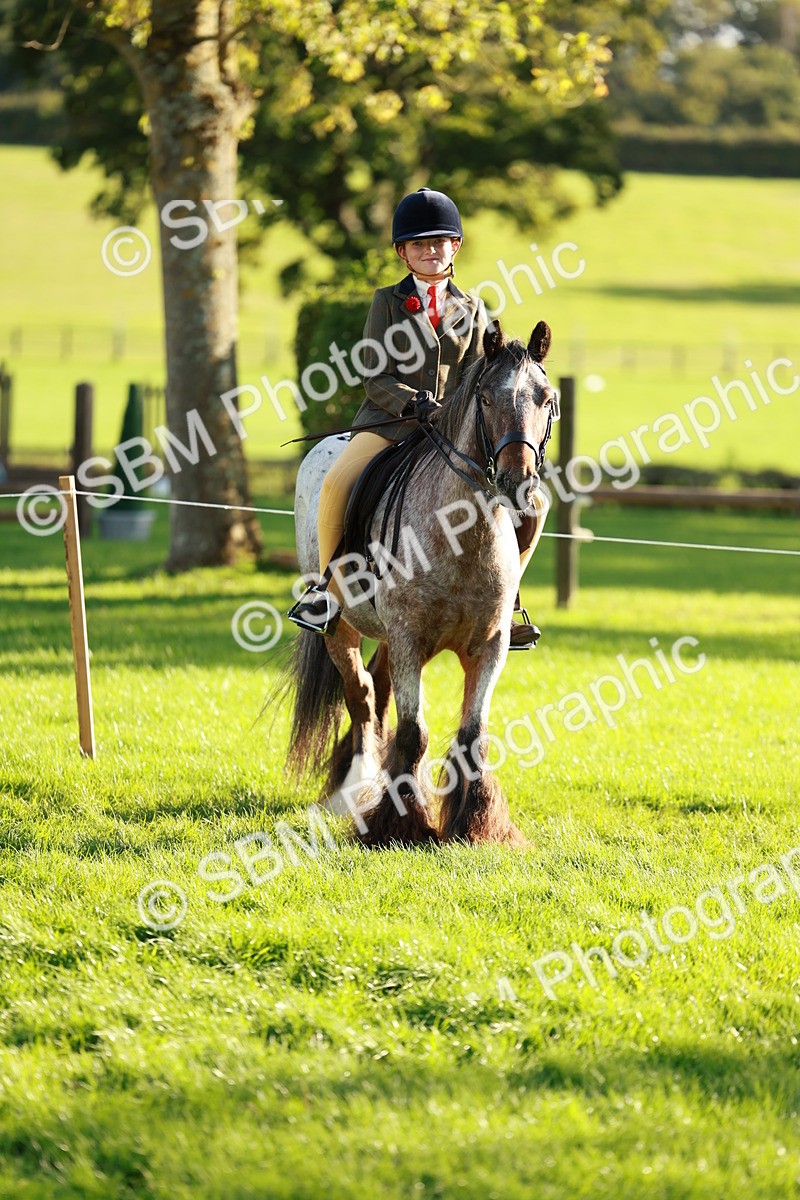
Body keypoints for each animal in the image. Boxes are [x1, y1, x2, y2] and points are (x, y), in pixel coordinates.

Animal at [284, 320, 558, 847]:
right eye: (486, 398)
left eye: (546, 398)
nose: (517, 482)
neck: (464, 534)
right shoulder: (410, 638)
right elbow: (414, 733)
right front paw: (400, 823)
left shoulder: (488, 645)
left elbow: (472, 736)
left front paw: (474, 824)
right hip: (341, 627)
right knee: (362, 695)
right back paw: (355, 790)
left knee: (379, 687)